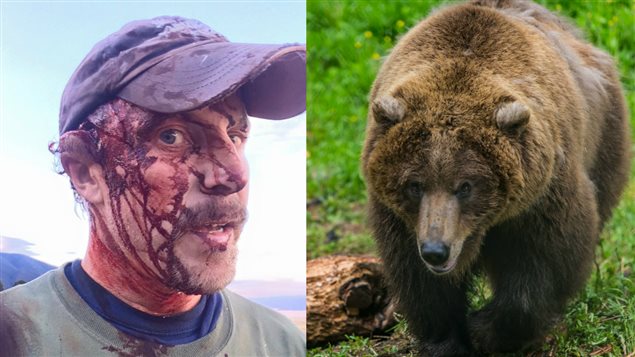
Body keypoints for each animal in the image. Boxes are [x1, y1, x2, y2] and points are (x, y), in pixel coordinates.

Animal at [362, 0, 632, 354]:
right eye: (414, 185)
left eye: (466, 186)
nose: (436, 250)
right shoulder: (401, 220)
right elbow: (420, 282)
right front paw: (446, 340)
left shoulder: (541, 197)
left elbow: (543, 265)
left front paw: (485, 329)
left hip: (605, 138)